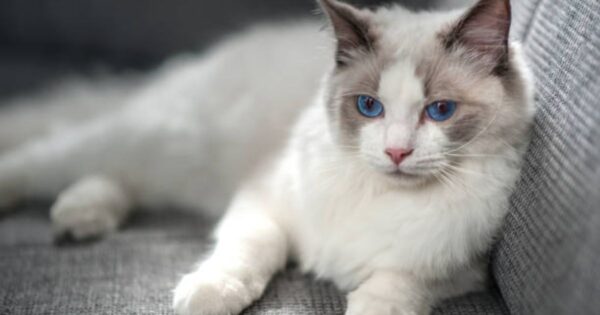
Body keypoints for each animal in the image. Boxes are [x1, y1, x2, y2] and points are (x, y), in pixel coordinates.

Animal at [0, 0, 536, 315]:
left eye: (440, 110)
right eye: (369, 106)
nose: (397, 151)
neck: (381, 196)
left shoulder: (457, 267)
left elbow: (394, 286)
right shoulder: (263, 200)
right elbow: (251, 249)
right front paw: (209, 296)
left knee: (114, 177)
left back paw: (80, 218)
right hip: (161, 139)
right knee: (50, 155)